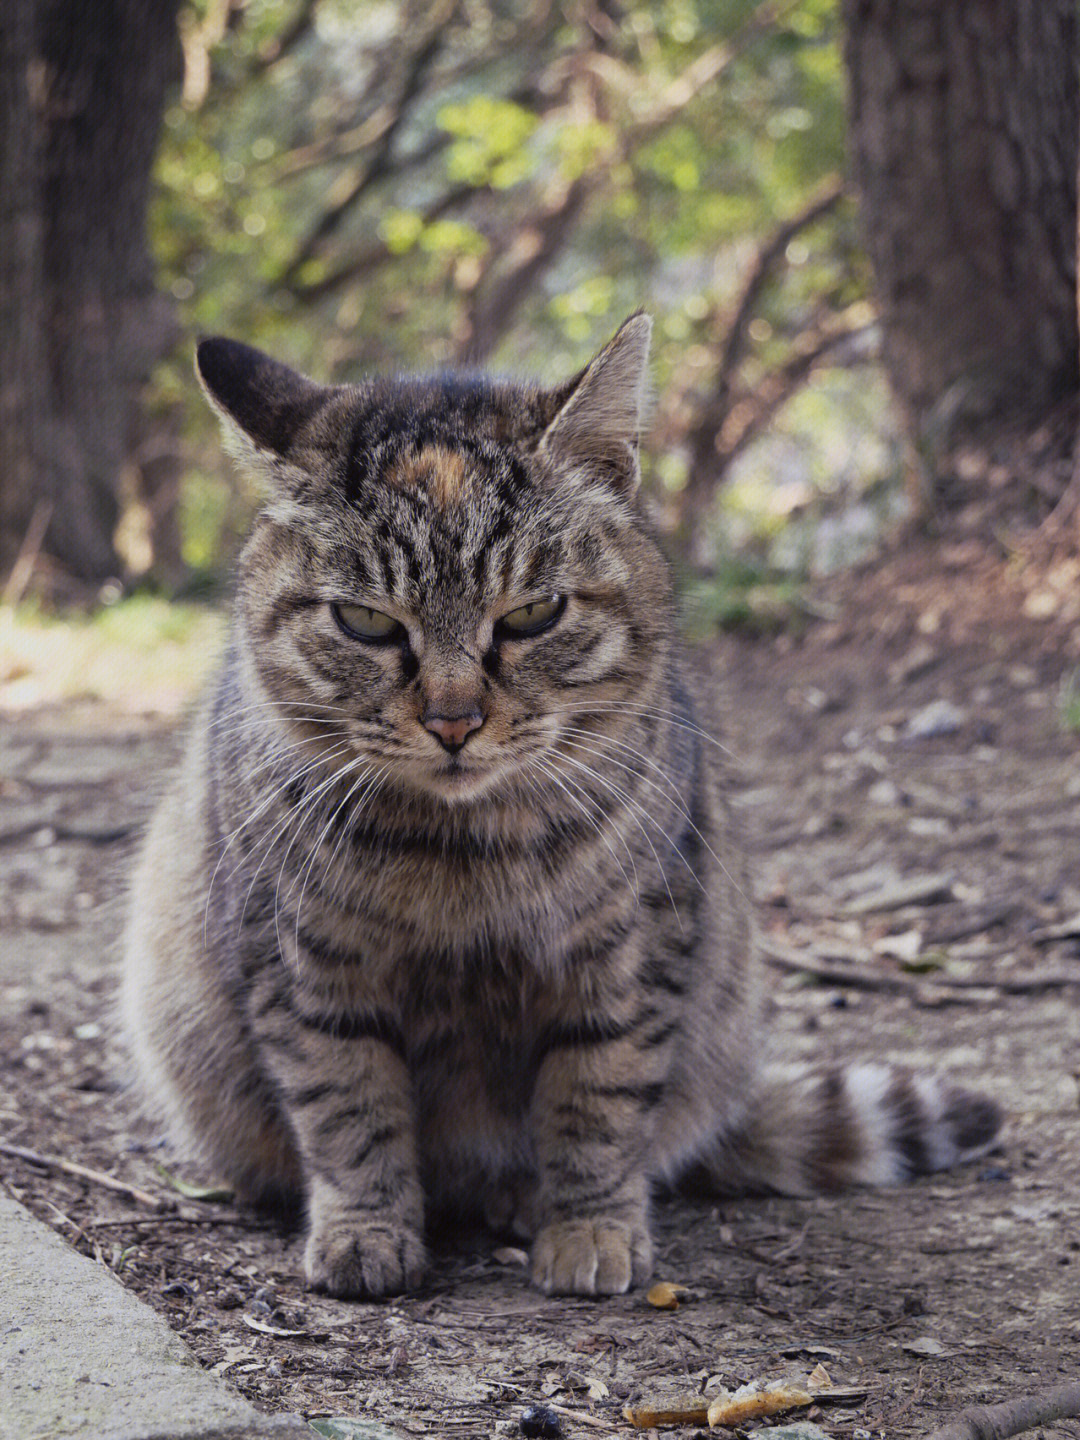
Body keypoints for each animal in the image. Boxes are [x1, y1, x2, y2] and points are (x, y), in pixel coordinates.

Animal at [122, 318, 1002, 1307]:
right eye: (367, 623)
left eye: (533, 614)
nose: (454, 722)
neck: (459, 857)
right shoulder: (300, 961)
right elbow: (346, 1104)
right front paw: (366, 1230)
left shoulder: (633, 948)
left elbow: (599, 1097)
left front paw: (589, 1228)